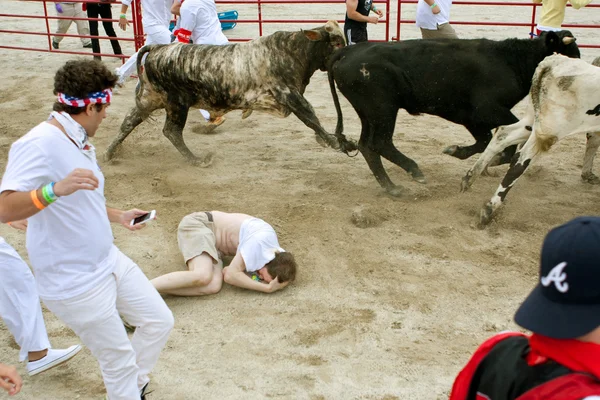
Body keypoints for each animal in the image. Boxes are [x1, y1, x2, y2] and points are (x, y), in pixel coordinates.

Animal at [104, 19, 356, 164]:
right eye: (335, 42)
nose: (345, 57)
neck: (293, 51)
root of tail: (160, 48)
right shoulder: (289, 94)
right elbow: (311, 117)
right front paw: (336, 142)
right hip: (177, 103)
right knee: (171, 131)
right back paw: (197, 160)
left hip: (152, 99)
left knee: (130, 121)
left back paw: (109, 154)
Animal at [326, 30, 580, 196]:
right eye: (571, 55)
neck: (510, 61)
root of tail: (349, 50)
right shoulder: (486, 111)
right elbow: (505, 141)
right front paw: (493, 159)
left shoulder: (472, 119)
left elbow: (484, 141)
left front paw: (460, 152)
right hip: (383, 110)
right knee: (380, 143)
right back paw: (413, 171)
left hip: (369, 113)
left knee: (367, 146)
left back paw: (391, 187)